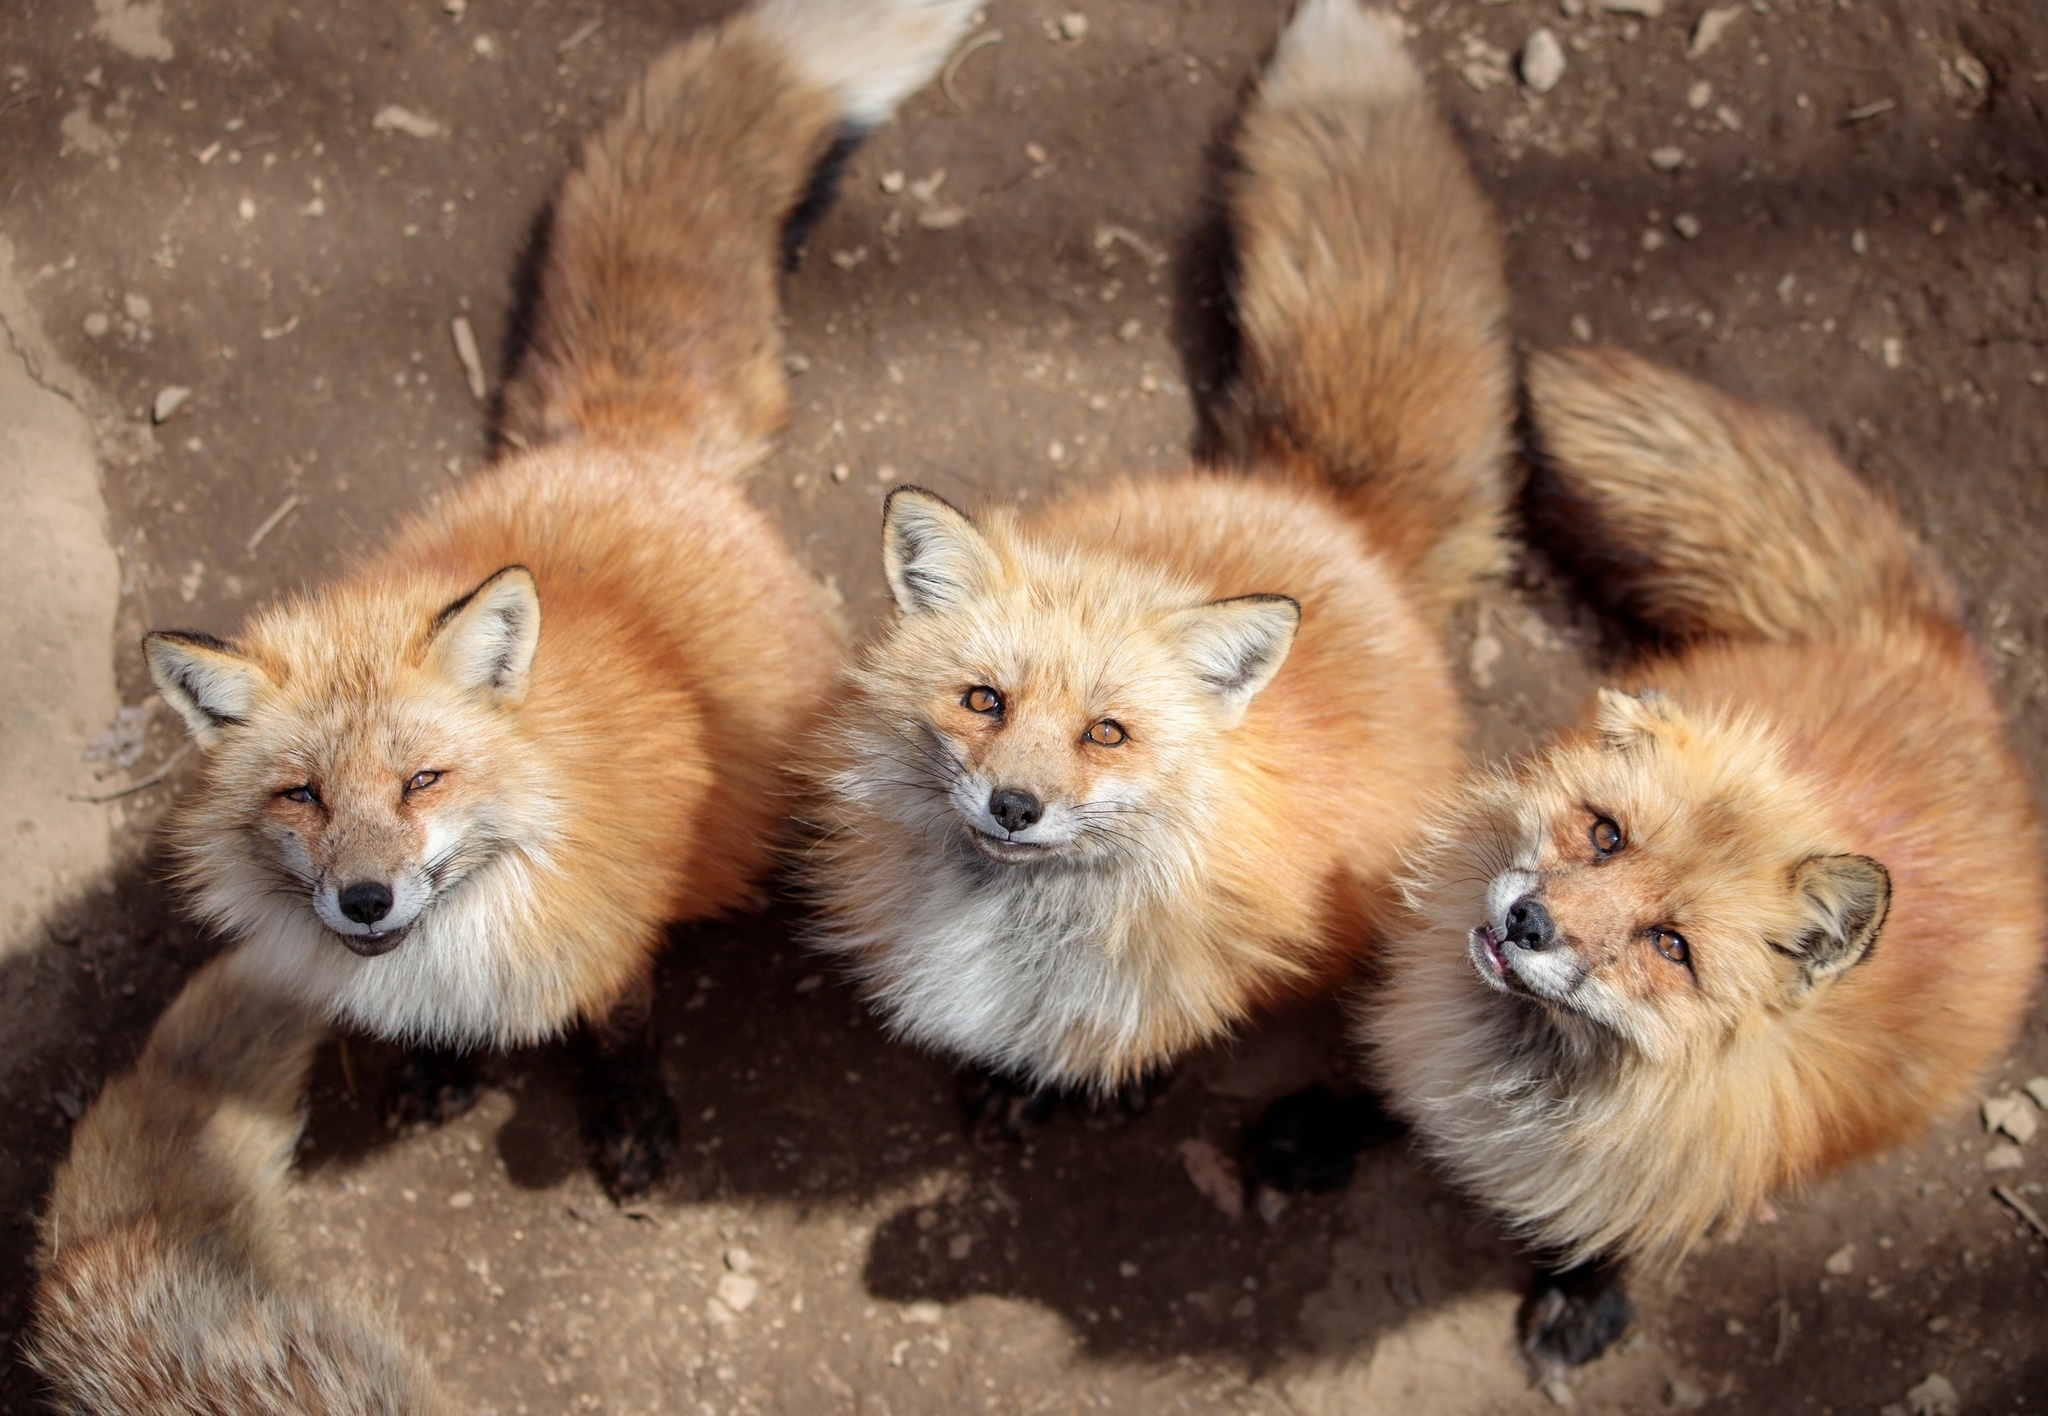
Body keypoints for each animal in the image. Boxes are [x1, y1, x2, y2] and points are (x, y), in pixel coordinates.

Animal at [140, 0, 978, 1196]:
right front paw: (446, 1065)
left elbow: (621, 1027)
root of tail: (614, 441)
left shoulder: (612, 924)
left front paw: (630, 1118)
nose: (364, 899)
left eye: (423, 780)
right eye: (300, 795)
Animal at [1359, 352, 2048, 1377]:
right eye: (1607, 835)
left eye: (1670, 946)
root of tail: (1930, 669)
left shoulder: (1684, 1166)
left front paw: (1587, 1292)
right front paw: (1317, 1132)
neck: (1521, 1079)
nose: (1528, 922)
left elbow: (1630, 1227)